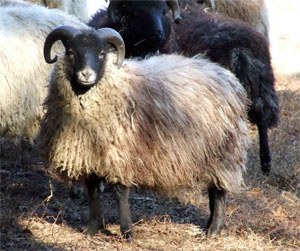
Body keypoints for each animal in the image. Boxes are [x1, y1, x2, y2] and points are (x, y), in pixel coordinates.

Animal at [39, 26, 251, 239]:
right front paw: (92, 228)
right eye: (71, 52)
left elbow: (120, 193)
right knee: (213, 192)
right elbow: (92, 193)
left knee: (219, 192)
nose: (86, 75)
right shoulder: (89, 158)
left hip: (225, 152)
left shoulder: (121, 155)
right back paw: (208, 226)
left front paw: (127, 232)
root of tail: (227, 77)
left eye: (101, 53)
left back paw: (213, 230)